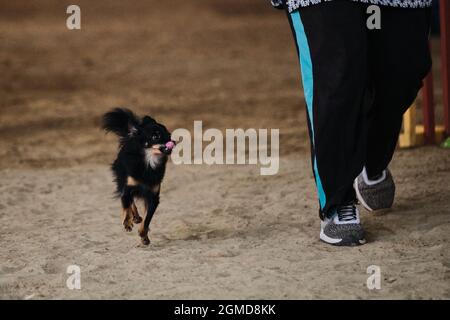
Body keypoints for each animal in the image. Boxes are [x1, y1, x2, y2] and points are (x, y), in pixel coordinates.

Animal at [102, 107, 176, 245]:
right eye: (156, 136)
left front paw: (144, 236)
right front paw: (127, 222)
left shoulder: (153, 197)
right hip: (122, 181)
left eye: (168, 134)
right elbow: (126, 206)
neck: (148, 161)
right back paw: (134, 217)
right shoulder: (127, 188)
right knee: (130, 202)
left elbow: (147, 220)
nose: (172, 141)